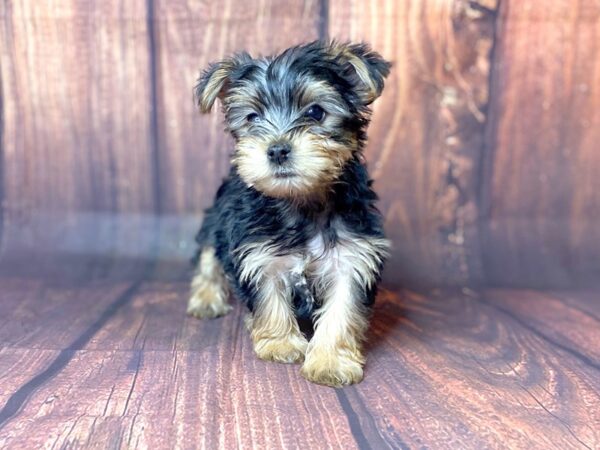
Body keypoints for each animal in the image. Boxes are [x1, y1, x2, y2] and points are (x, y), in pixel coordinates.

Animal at [189, 40, 394, 388]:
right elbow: (269, 298)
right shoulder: (258, 253)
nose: (276, 149)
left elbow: (343, 308)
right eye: (252, 116)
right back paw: (205, 297)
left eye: (316, 112)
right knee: (208, 252)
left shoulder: (353, 256)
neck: (301, 202)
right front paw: (281, 343)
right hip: (217, 216)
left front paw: (330, 361)